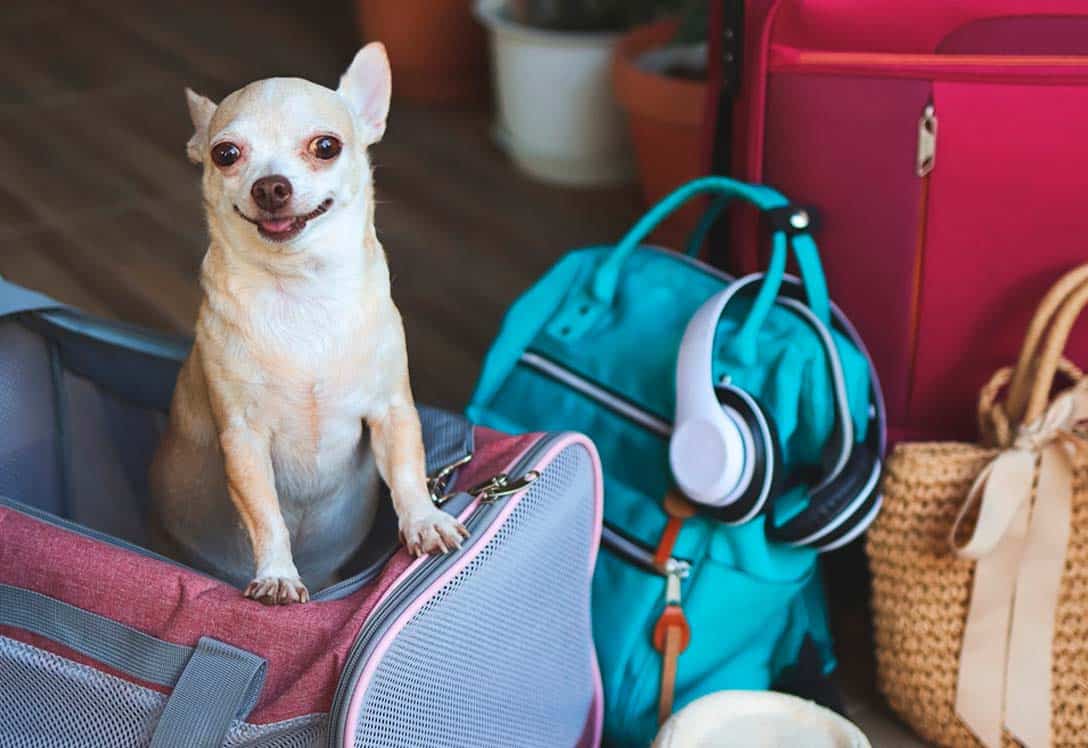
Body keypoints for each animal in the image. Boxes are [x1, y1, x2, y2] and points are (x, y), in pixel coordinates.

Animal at [150, 43, 467, 604]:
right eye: (225, 154)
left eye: (326, 147)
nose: (271, 186)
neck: (301, 292)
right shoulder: (243, 439)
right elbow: (266, 514)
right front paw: (277, 573)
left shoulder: (391, 412)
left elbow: (408, 471)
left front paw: (425, 521)